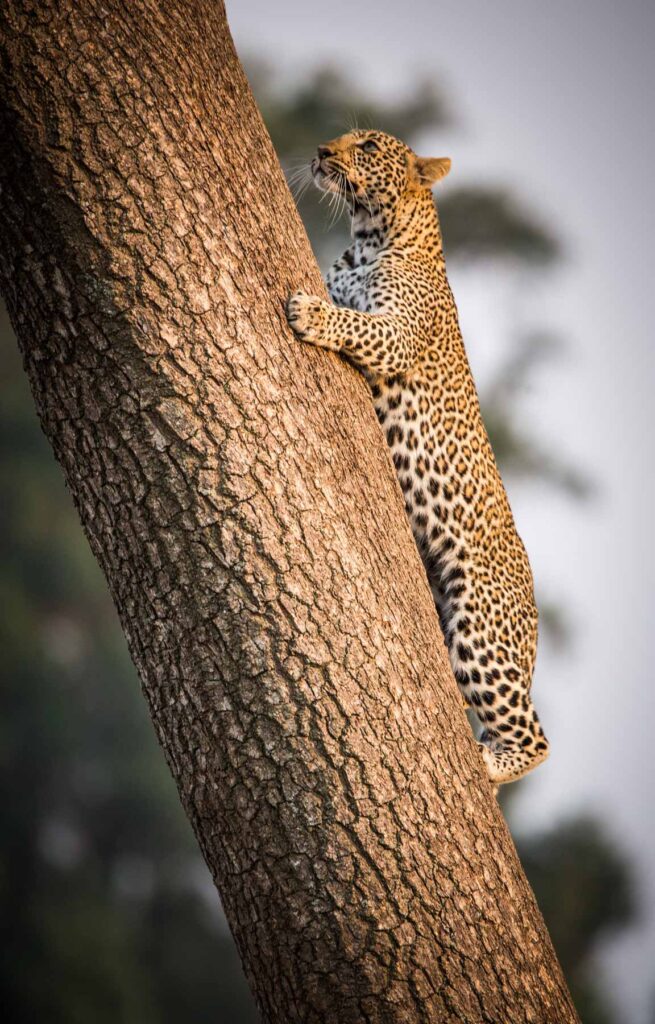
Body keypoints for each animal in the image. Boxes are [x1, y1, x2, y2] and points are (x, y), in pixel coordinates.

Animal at [284, 128, 548, 782]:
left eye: (369, 145)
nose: (323, 151)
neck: (369, 239)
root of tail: (534, 611)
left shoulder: (397, 333)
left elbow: (354, 325)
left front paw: (310, 313)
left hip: (479, 622)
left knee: (535, 737)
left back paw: (486, 762)